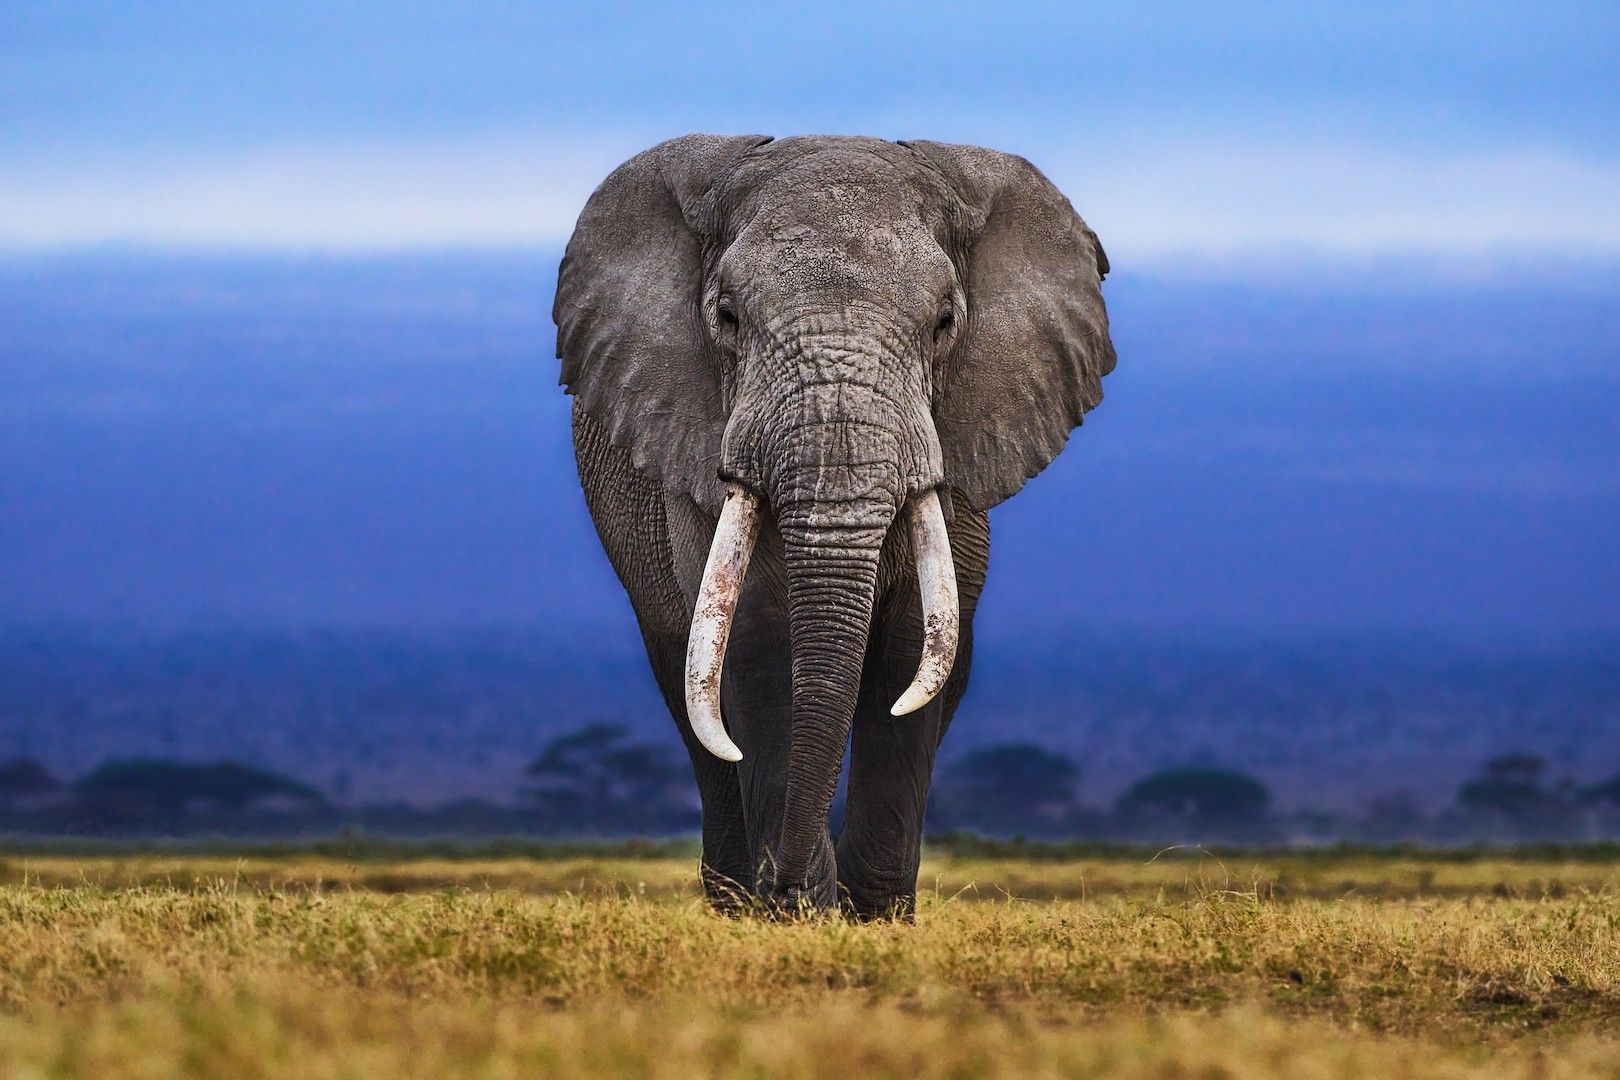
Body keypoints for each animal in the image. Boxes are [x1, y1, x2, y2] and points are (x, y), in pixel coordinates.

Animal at [554, 134, 1115, 917]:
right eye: (727, 317)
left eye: (945, 324)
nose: (788, 885)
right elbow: (758, 641)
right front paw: (799, 912)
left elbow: (911, 651)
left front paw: (871, 916)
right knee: (691, 699)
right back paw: (736, 899)